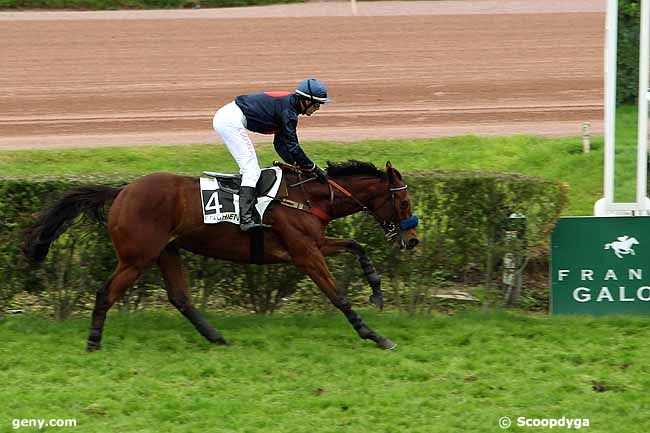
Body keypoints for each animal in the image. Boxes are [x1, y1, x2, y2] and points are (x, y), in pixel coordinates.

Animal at [22, 160, 418, 350]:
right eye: (403, 202)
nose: (412, 240)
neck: (306, 198)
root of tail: (121, 191)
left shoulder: (313, 245)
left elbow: (356, 246)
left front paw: (377, 291)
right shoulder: (304, 254)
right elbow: (338, 296)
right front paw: (375, 336)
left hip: (166, 251)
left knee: (180, 297)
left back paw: (216, 337)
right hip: (136, 258)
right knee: (106, 292)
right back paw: (93, 342)